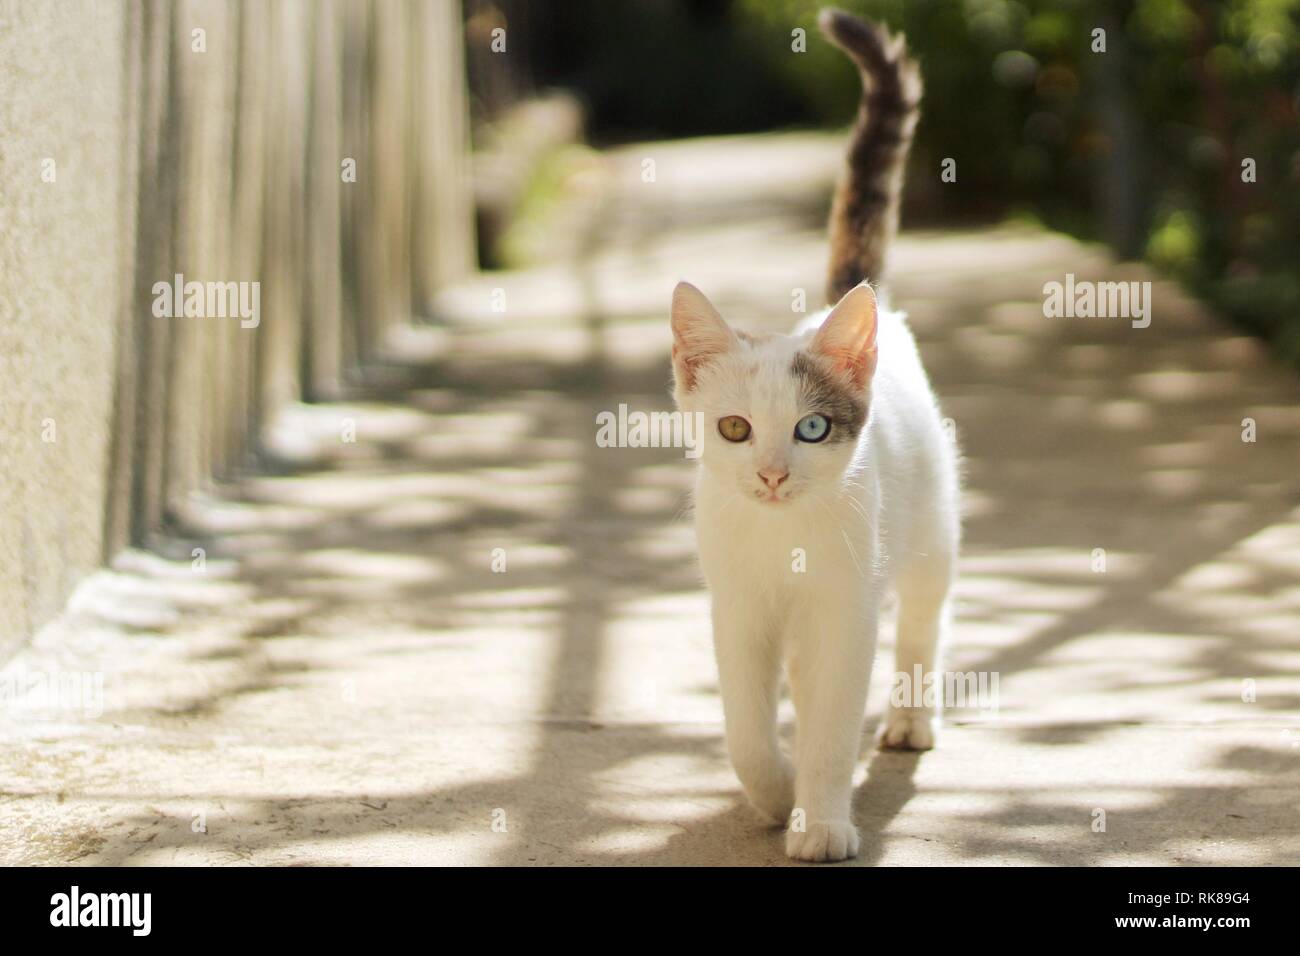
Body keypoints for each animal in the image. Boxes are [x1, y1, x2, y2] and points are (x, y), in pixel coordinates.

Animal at [670, 7, 956, 863]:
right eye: (734, 428)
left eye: (813, 427)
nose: (769, 474)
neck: (782, 539)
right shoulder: (735, 608)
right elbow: (744, 725)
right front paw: (772, 794)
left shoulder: (843, 611)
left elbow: (831, 726)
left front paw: (820, 820)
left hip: (929, 530)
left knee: (924, 620)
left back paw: (910, 717)